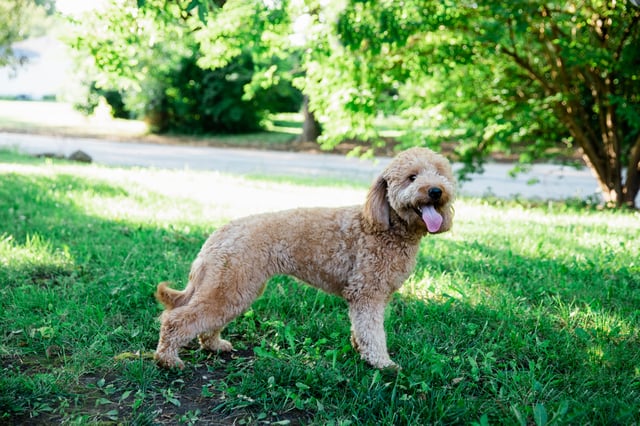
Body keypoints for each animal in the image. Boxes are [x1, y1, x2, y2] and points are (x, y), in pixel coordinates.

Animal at [154, 148, 456, 372]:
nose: (435, 191)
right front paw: (382, 363)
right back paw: (167, 359)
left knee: (207, 322)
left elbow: (362, 330)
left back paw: (214, 345)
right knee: (176, 319)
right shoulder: (366, 293)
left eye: (440, 174)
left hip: (233, 287)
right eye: (412, 177)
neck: (385, 226)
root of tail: (220, 233)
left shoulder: (373, 297)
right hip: (231, 285)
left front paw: (359, 349)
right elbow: (373, 332)